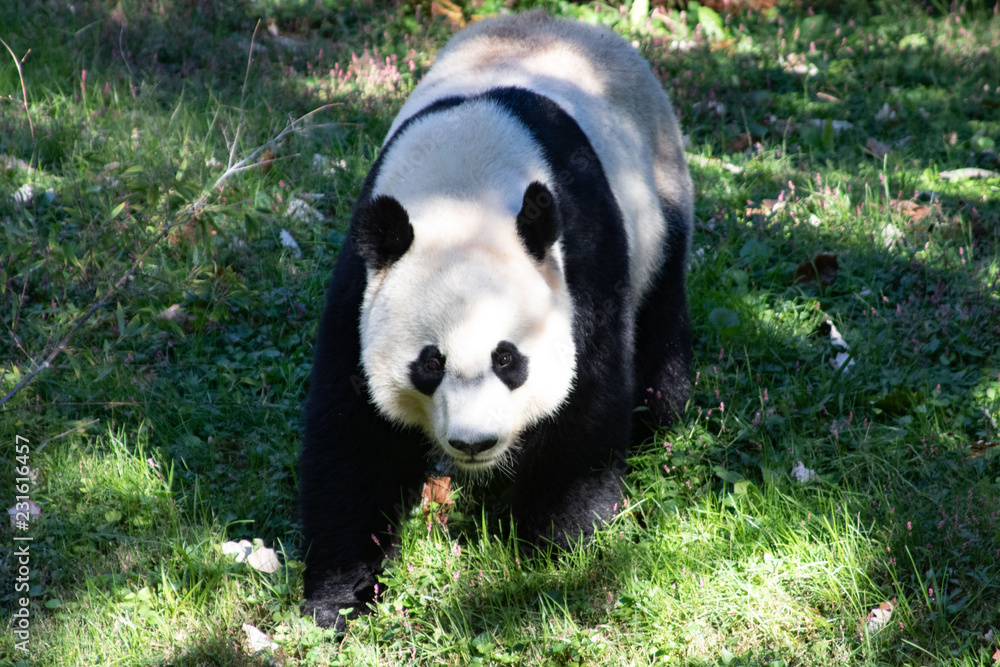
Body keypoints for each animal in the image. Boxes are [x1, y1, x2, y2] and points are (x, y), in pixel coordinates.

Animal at [300, 10, 693, 628]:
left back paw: (660, 419)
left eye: (507, 359)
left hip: (659, 192)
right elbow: (353, 430)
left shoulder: (579, 260)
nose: (473, 442)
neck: (464, 192)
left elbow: (584, 402)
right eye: (429, 364)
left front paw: (554, 554)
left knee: (660, 319)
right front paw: (340, 597)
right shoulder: (361, 283)